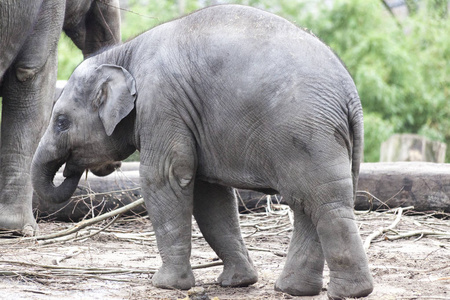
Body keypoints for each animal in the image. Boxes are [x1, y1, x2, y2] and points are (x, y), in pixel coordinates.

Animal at [31, 3, 374, 298]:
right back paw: (293, 289)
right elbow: (209, 195)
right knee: (307, 205)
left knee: (324, 203)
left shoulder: (162, 102)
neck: (126, 51)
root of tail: (351, 95)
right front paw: (237, 283)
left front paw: (165, 284)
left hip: (306, 134)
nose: (72, 168)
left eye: (61, 122)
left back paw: (350, 292)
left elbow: (165, 177)